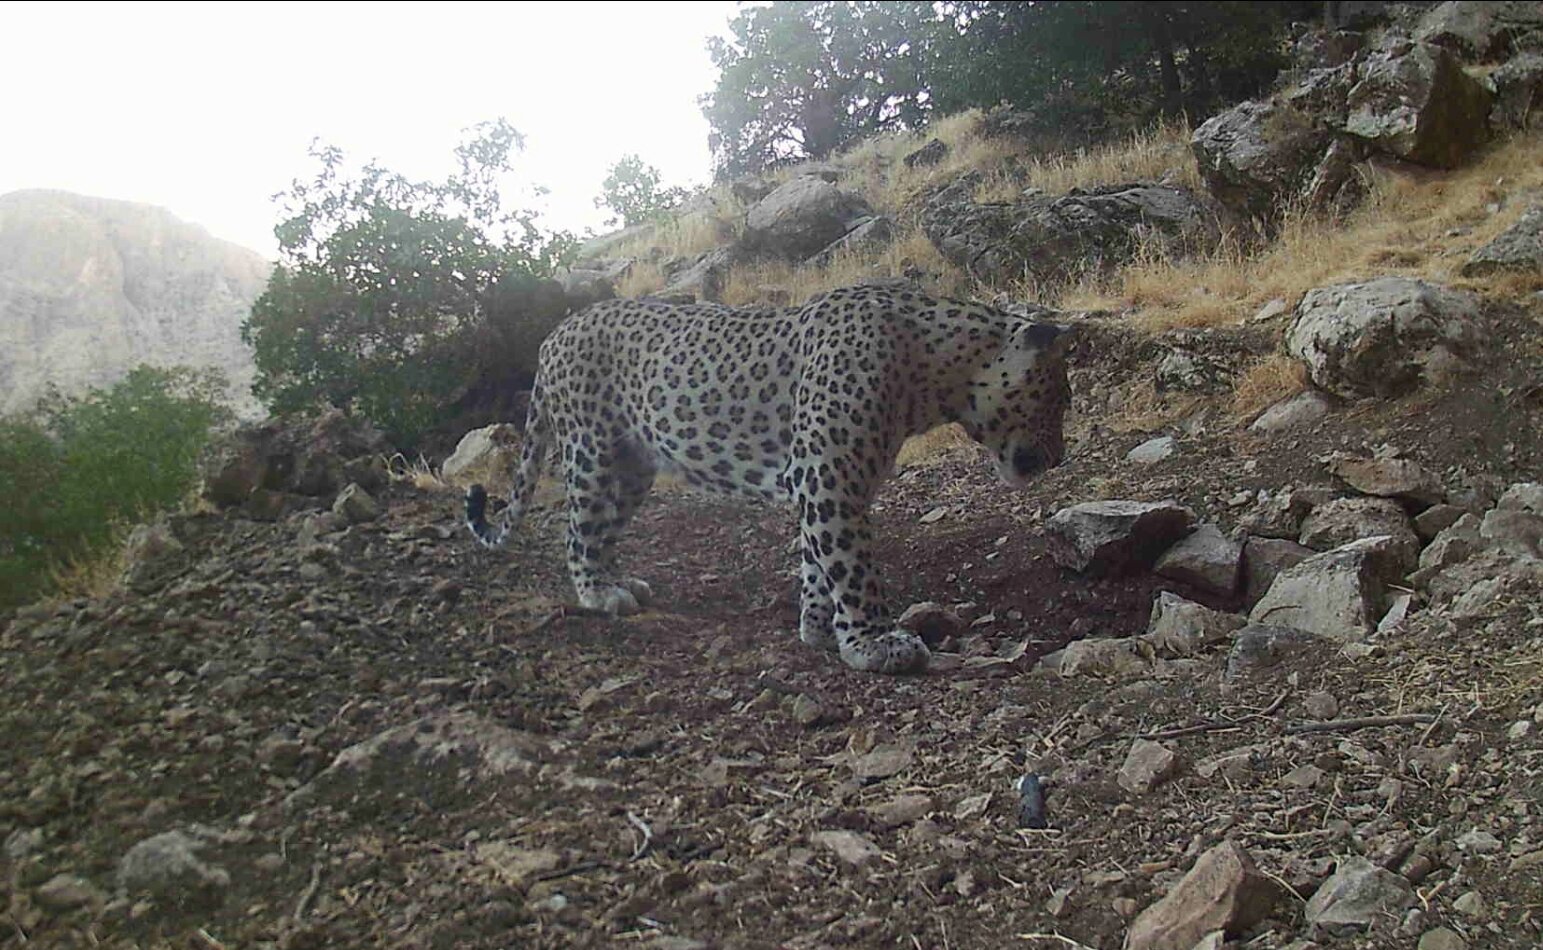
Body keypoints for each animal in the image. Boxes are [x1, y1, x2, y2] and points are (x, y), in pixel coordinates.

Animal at [465, 283, 1073, 675]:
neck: (933, 370)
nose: (1061, 456)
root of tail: (552, 335)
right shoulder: (825, 475)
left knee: (605, 529)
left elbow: (820, 562)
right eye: (1061, 399)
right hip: (593, 451)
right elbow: (853, 567)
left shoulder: (828, 483)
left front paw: (819, 629)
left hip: (633, 467)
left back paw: (622, 582)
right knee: (579, 531)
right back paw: (598, 593)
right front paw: (874, 644)